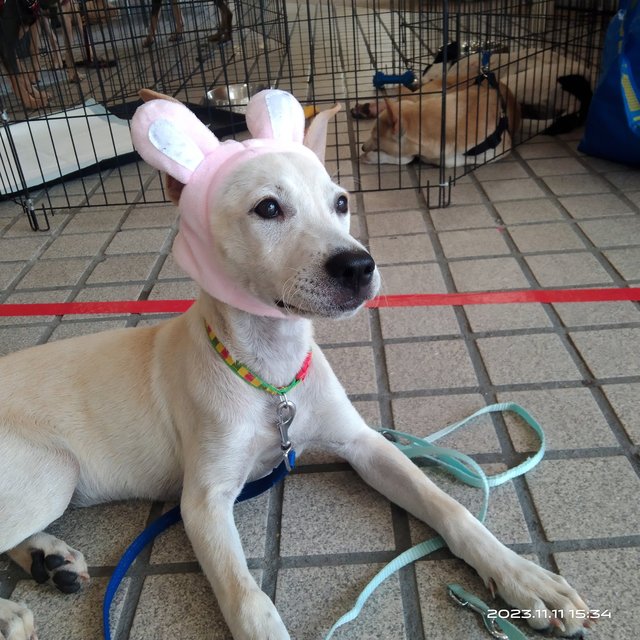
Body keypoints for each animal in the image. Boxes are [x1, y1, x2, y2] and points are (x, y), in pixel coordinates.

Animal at [0, 90, 592, 640]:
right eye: (267, 208)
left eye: (342, 201)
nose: (359, 266)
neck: (270, 373)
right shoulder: (204, 501)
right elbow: (246, 598)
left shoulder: (364, 442)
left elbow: (448, 506)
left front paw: (521, 575)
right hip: (53, 470)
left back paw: (47, 560)